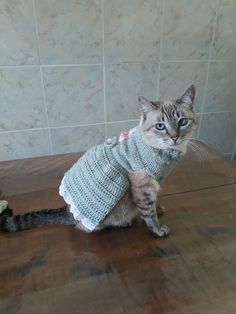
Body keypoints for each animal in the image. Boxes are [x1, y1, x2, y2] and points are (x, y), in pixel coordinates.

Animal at [0, 84, 197, 237]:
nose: (174, 137)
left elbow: (154, 203)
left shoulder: (154, 182)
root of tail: (68, 210)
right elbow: (148, 212)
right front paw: (157, 229)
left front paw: (159, 208)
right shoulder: (142, 186)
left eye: (182, 122)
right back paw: (124, 223)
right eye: (160, 126)